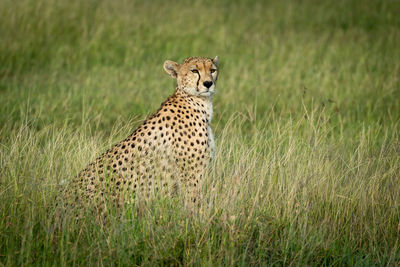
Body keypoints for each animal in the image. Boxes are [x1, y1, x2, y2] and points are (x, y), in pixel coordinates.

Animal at [62, 56, 219, 214]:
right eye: (194, 70)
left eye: (212, 70)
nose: (208, 83)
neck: (197, 101)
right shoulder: (190, 174)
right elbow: (192, 203)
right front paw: (194, 217)